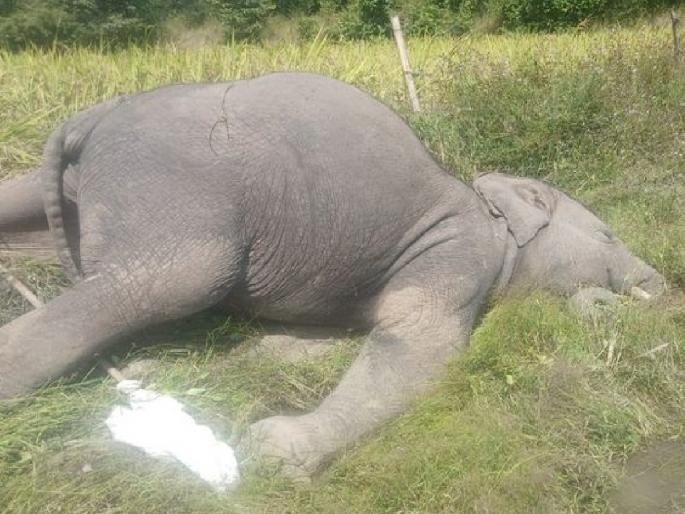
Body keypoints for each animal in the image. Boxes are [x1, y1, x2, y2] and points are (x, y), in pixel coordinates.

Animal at [0, 72, 665, 479]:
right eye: (609, 236)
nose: (661, 285)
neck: (490, 209)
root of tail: (94, 115)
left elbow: (298, 347)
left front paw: (162, 374)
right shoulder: (457, 253)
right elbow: (421, 346)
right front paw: (270, 453)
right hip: (174, 189)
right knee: (162, 283)